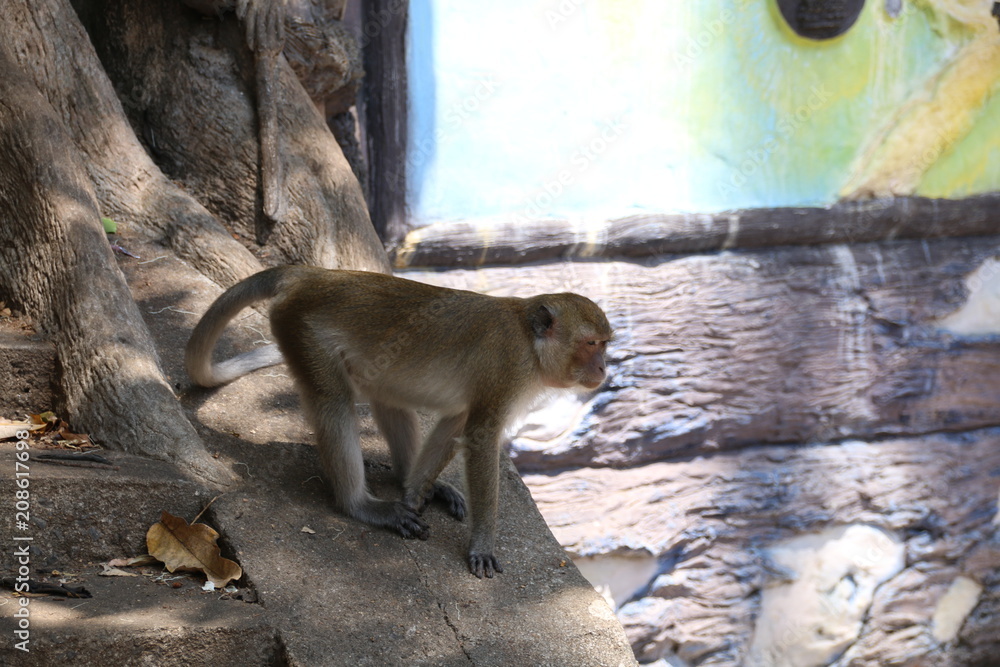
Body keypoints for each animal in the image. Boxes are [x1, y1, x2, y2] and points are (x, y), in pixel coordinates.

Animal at [184, 264, 612, 576]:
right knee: (333, 402)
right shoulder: (506, 370)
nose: (603, 368)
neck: (530, 343)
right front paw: (483, 543)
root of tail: (311, 274)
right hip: (302, 330)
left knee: (386, 395)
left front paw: (417, 489)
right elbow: (480, 436)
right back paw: (360, 505)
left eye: (603, 345)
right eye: (591, 344)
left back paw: (410, 481)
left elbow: (457, 422)